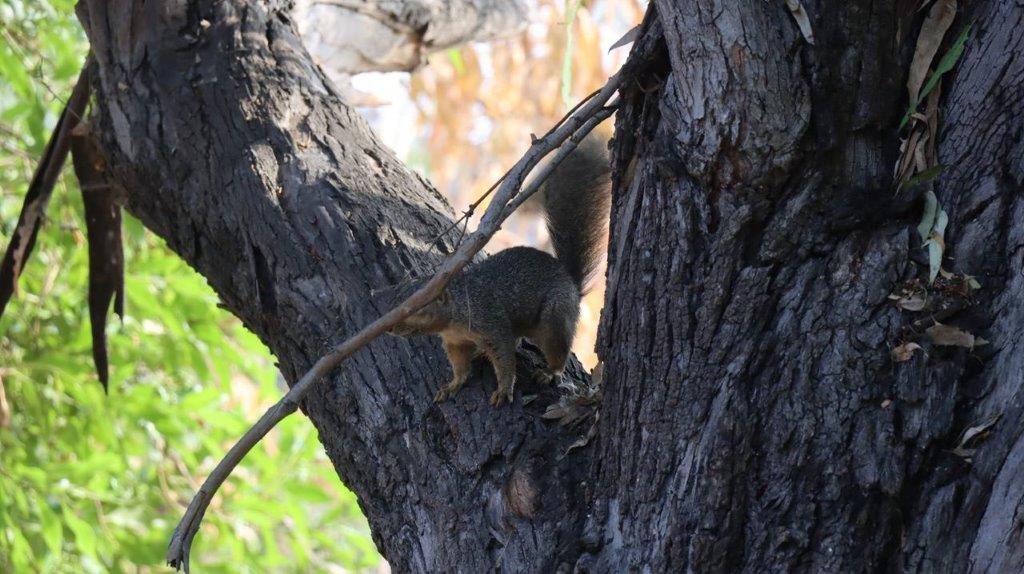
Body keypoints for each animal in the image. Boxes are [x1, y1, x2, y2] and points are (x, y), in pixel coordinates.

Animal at [385, 134, 606, 405]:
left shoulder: (492, 326)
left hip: (554, 318)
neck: (456, 313)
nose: (390, 329)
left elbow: (505, 360)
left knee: (557, 351)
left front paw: (503, 389)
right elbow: (460, 367)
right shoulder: (455, 342)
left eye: (416, 307)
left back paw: (549, 372)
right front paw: (452, 385)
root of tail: (573, 284)